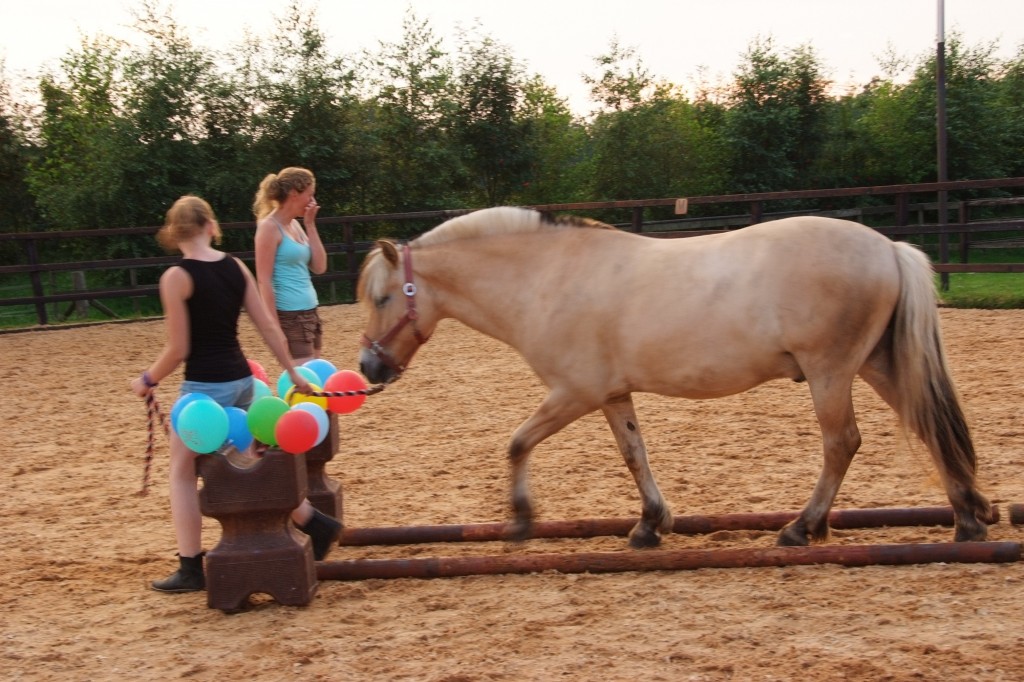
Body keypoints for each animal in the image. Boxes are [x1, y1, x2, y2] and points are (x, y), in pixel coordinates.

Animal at [357, 206, 994, 548]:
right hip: (875, 364)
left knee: (842, 444)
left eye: (384, 297)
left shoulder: (573, 394)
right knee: (929, 425)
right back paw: (968, 517)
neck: (548, 277)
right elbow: (634, 456)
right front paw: (649, 524)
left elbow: (516, 443)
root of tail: (889, 247)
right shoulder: (612, 395)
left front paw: (520, 518)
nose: (368, 367)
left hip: (831, 373)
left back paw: (800, 528)